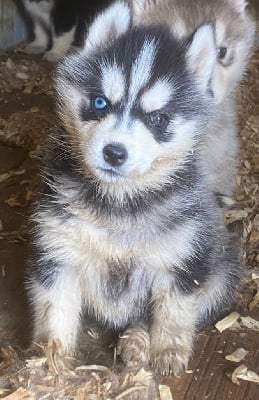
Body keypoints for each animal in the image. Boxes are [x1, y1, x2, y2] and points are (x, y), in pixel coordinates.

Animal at [26, 0, 242, 376]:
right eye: (100, 102)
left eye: (158, 119)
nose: (114, 152)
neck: (120, 203)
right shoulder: (58, 253)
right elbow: (55, 309)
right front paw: (51, 359)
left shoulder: (183, 261)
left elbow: (173, 312)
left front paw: (167, 351)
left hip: (220, 274)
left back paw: (137, 341)